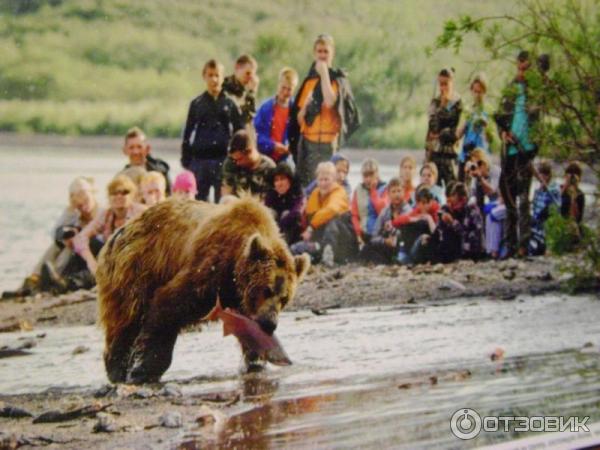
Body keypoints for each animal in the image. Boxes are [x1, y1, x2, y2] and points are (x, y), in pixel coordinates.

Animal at [95, 196, 310, 384]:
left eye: (284, 298)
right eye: (267, 290)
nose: (269, 323)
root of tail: (119, 232)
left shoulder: (237, 296)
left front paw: (255, 361)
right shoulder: (209, 266)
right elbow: (169, 305)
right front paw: (144, 370)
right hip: (136, 269)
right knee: (125, 320)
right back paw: (116, 369)